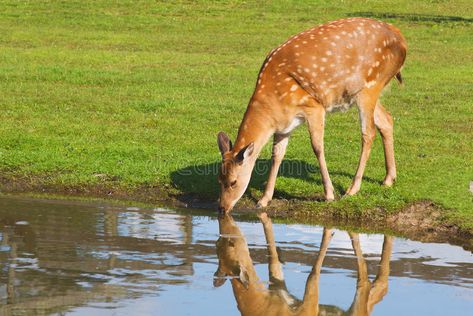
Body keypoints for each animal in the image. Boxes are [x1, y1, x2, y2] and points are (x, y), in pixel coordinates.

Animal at [213, 212, 390, 316]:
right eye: (216, 243)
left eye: (231, 243)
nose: (226, 234)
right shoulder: (279, 288)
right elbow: (274, 263)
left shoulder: (308, 308)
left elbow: (312, 276)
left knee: (365, 285)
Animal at [218, 17, 406, 212]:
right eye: (219, 179)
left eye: (233, 182)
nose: (222, 207)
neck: (274, 103)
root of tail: (401, 38)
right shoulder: (284, 125)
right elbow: (277, 154)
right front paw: (264, 199)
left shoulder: (314, 106)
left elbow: (317, 147)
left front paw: (329, 194)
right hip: (364, 92)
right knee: (386, 120)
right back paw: (388, 179)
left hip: (370, 85)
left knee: (368, 132)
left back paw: (352, 189)